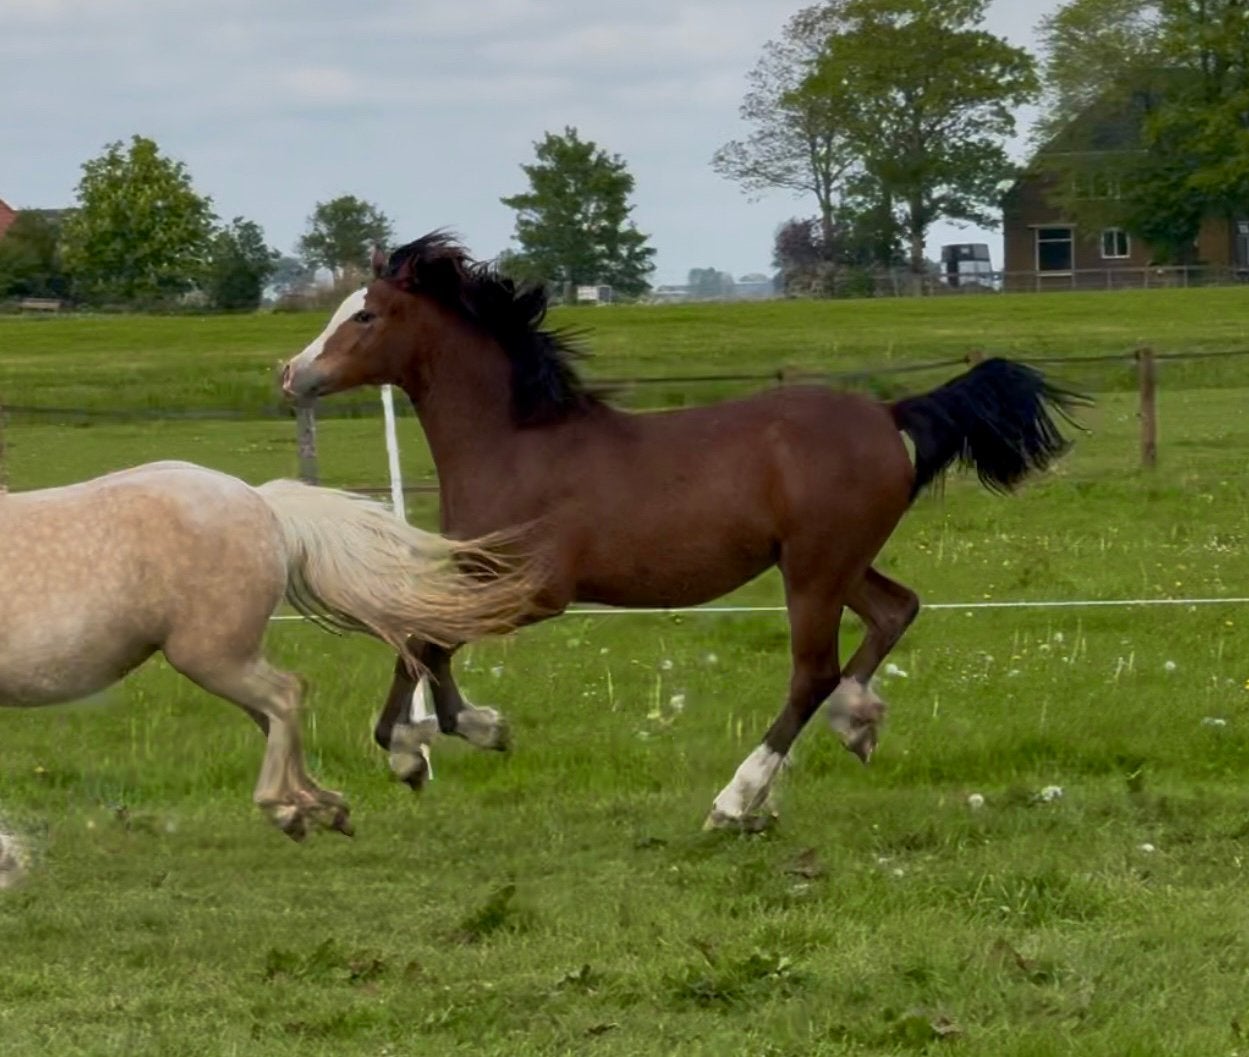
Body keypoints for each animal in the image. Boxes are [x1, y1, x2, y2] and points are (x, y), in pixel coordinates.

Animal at [0, 460, 535, 839]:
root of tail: (263, 502)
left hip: (213, 657)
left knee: (283, 697)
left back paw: (288, 810)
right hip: (225, 660)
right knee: (278, 713)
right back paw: (324, 807)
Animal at [281, 233, 1086, 831]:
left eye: (364, 316)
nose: (290, 374)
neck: (515, 443)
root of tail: (889, 414)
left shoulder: (536, 589)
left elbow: (422, 638)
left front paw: (418, 748)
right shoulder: (481, 574)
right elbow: (423, 639)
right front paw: (462, 730)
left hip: (814, 569)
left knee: (812, 672)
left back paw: (737, 798)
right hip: (834, 561)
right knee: (894, 611)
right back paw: (854, 722)